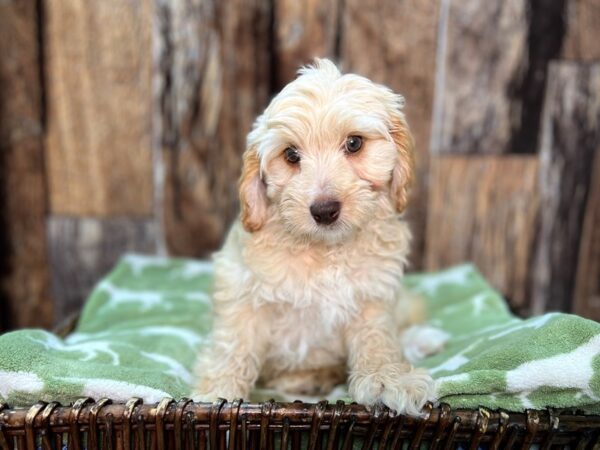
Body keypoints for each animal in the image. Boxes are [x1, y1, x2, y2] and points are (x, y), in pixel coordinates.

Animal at [193, 58, 440, 416]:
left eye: (354, 143)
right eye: (291, 155)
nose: (324, 210)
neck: (325, 251)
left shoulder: (373, 298)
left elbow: (378, 341)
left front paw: (389, 380)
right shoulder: (244, 291)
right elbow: (234, 346)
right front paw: (215, 396)